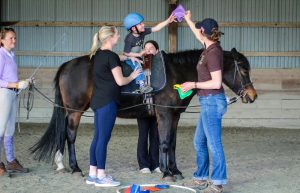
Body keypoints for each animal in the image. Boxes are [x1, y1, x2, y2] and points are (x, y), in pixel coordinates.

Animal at [31, 48, 258, 181]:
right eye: (243, 70)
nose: (252, 95)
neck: (176, 73)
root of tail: (67, 65)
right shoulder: (165, 114)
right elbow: (165, 143)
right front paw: (166, 173)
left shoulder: (174, 116)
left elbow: (172, 143)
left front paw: (175, 171)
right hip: (75, 111)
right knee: (70, 136)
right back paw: (75, 167)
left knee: (62, 134)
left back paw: (62, 164)